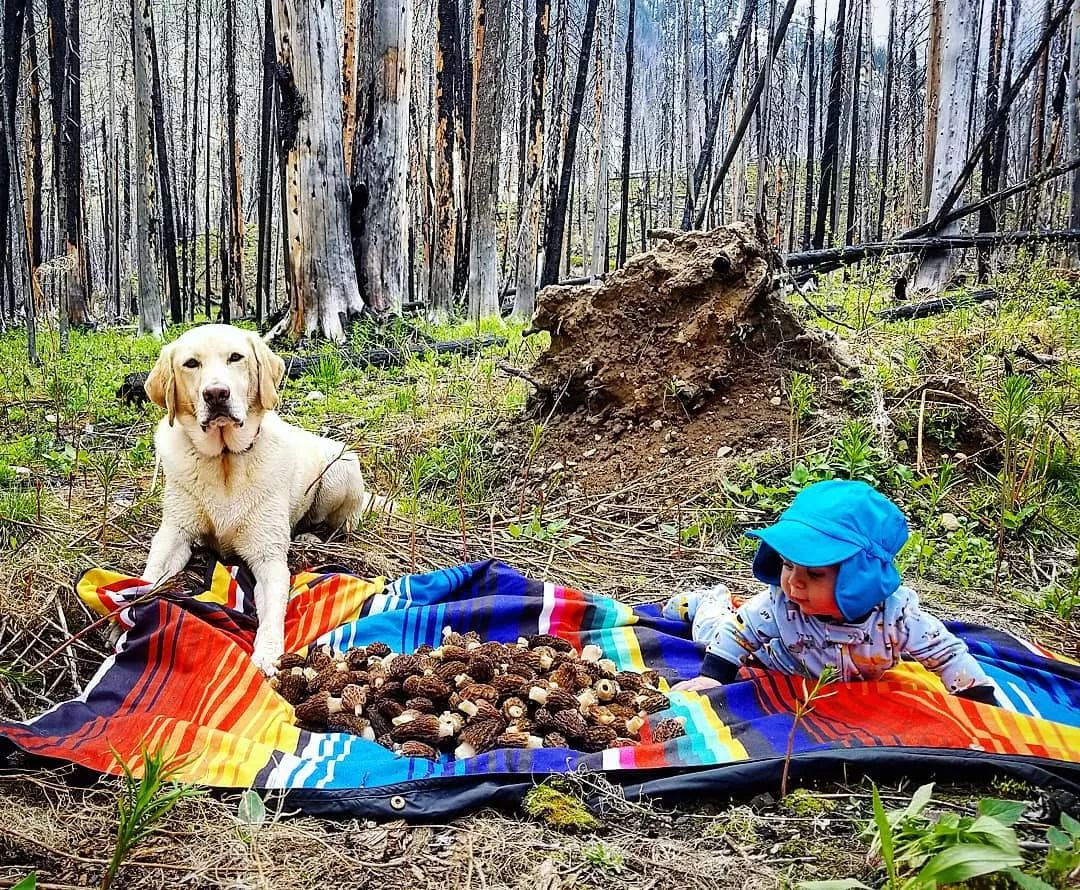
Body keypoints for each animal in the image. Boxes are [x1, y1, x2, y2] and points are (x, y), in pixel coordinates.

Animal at [142, 326, 380, 673]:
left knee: (337, 525)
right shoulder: (175, 533)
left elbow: (273, 611)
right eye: (191, 363)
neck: (225, 459)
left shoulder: (269, 558)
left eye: (235, 357)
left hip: (341, 469)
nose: (216, 394)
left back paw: (311, 536)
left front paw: (267, 653)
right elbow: (150, 574)